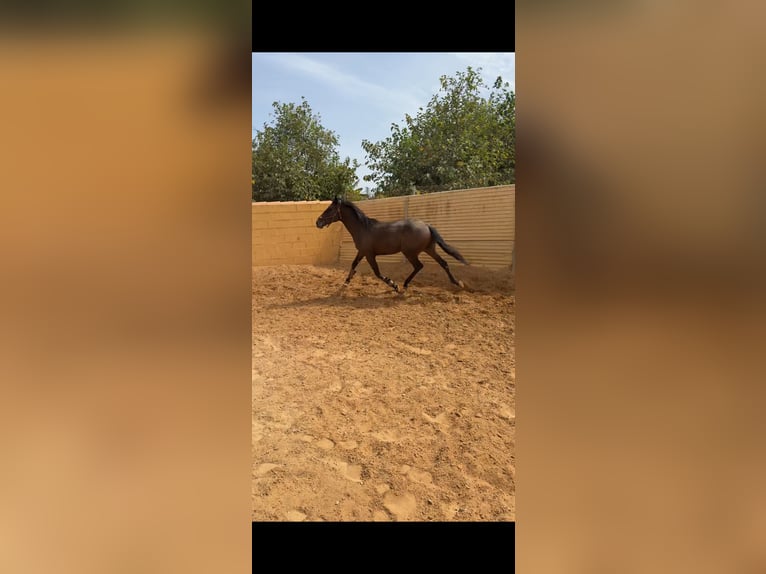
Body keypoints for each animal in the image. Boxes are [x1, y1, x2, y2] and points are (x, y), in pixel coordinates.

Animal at [316, 196, 469, 293]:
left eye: (329, 209)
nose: (318, 222)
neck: (363, 228)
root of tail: (427, 225)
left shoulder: (369, 254)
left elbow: (377, 273)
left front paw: (394, 285)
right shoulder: (362, 252)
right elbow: (353, 265)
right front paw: (346, 282)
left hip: (410, 253)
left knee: (419, 266)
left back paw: (404, 286)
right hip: (429, 249)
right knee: (443, 263)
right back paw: (458, 283)